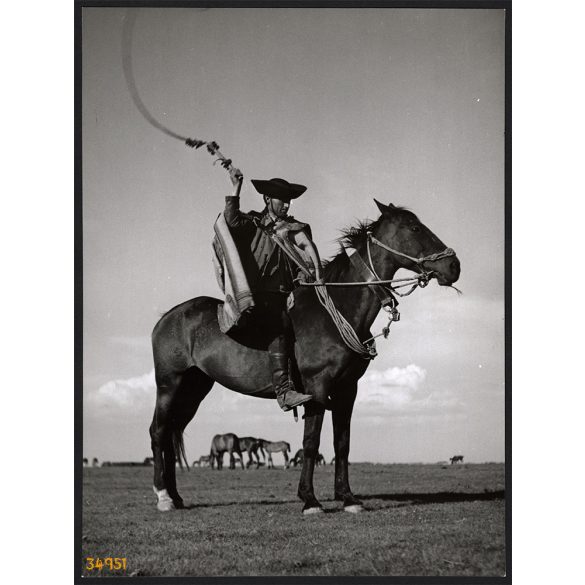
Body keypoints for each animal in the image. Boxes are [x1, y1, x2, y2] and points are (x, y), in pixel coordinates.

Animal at [151, 200, 460, 512]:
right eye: (414, 228)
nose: (453, 266)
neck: (336, 311)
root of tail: (167, 317)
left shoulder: (347, 390)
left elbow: (342, 445)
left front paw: (347, 497)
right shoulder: (317, 387)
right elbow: (311, 442)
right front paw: (309, 499)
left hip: (194, 388)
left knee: (171, 435)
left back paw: (176, 497)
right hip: (169, 384)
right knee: (158, 431)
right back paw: (163, 496)